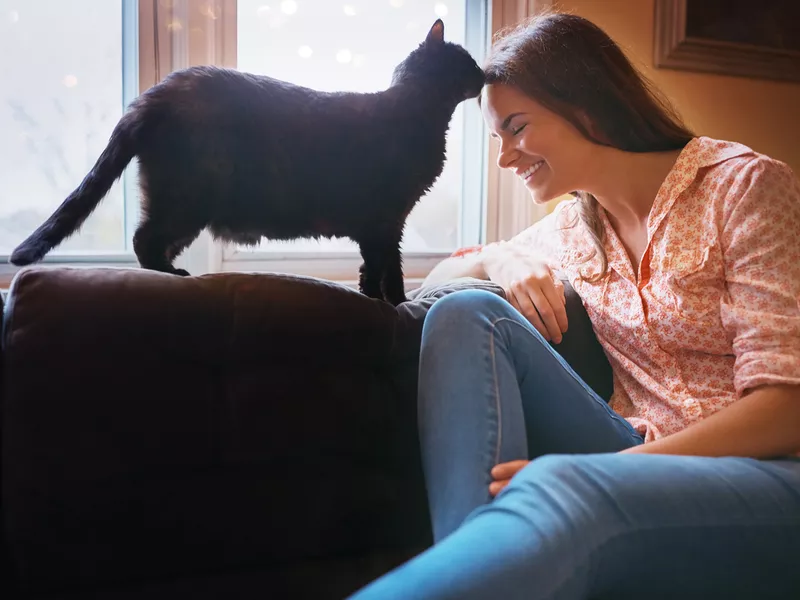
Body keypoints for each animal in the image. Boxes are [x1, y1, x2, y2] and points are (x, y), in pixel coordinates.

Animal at [7, 19, 482, 304]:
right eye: (467, 60)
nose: (486, 74)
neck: (418, 112)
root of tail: (150, 96)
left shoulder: (390, 223)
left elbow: (384, 267)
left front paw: (392, 301)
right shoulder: (381, 219)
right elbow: (383, 266)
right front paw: (391, 303)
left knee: (151, 240)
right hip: (186, 200)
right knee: (144, 239)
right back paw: (172, 276)